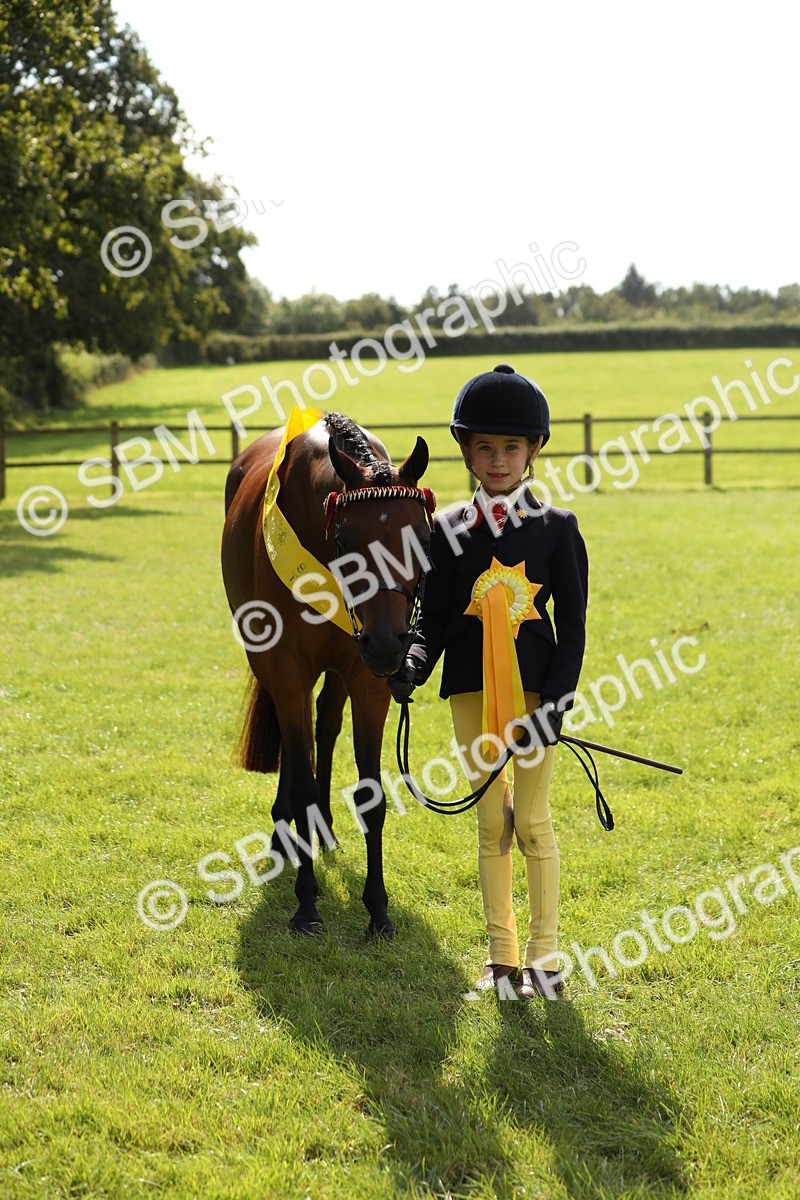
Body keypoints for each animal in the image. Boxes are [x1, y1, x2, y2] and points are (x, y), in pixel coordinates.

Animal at [221, 410, 433, 938]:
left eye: (423, 540)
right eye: (344, 540)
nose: (387, 643)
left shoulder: (366, 678)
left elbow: (371, 795)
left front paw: (378, 910)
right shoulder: (286, 668)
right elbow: (300, 782)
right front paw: (306, 902)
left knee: (326, 726)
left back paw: (323, 827)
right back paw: (287, 834)